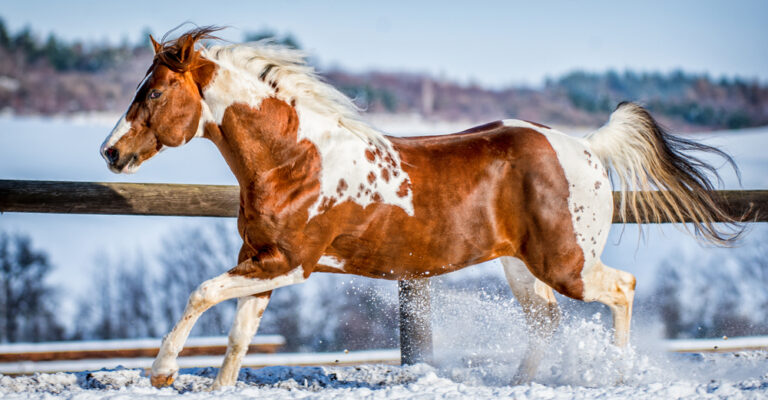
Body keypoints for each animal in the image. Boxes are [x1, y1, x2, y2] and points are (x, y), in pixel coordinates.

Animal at [100, 27, 740, 389]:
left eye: (153, 92)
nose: (111, 152)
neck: (293, 160)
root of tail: (586, 147)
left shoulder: (290, 263)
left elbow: (200, 293)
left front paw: (161, 372)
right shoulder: (261, 261)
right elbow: (236, 340)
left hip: (568, 263)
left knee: (622, 288)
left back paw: (617, 374)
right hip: (522, 266)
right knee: (546, 318)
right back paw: (518, 384)